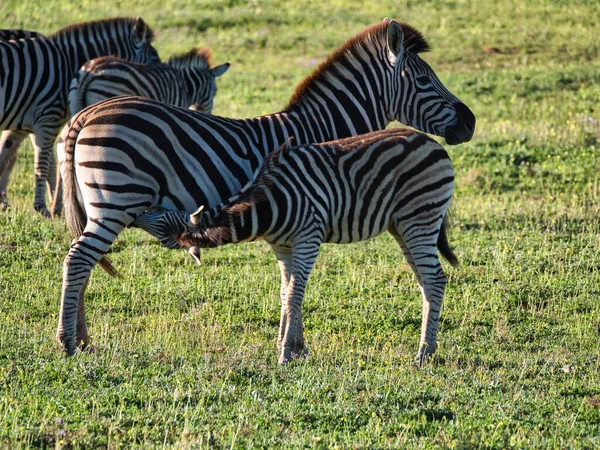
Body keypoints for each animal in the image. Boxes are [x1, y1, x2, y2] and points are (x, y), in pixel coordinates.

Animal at [0, 15, 159, 216]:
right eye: (154, 60)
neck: (67, 65)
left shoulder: (23, 125)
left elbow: (7, 158)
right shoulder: (47, 119)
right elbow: (43, 165)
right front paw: (43, 207)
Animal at [136, 127, 458, 366]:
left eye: (159, 217)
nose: (137, 212)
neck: (268, 207)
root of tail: (433, 143)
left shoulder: (308, 238)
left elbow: (294, 294)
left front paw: (286, 353)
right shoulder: (283, 247)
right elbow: (284, 293)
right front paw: (293, 346)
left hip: (419, 216)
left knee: (434, 279)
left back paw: (424, 353)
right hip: (401, 225)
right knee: (424, 281)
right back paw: (428, 347)